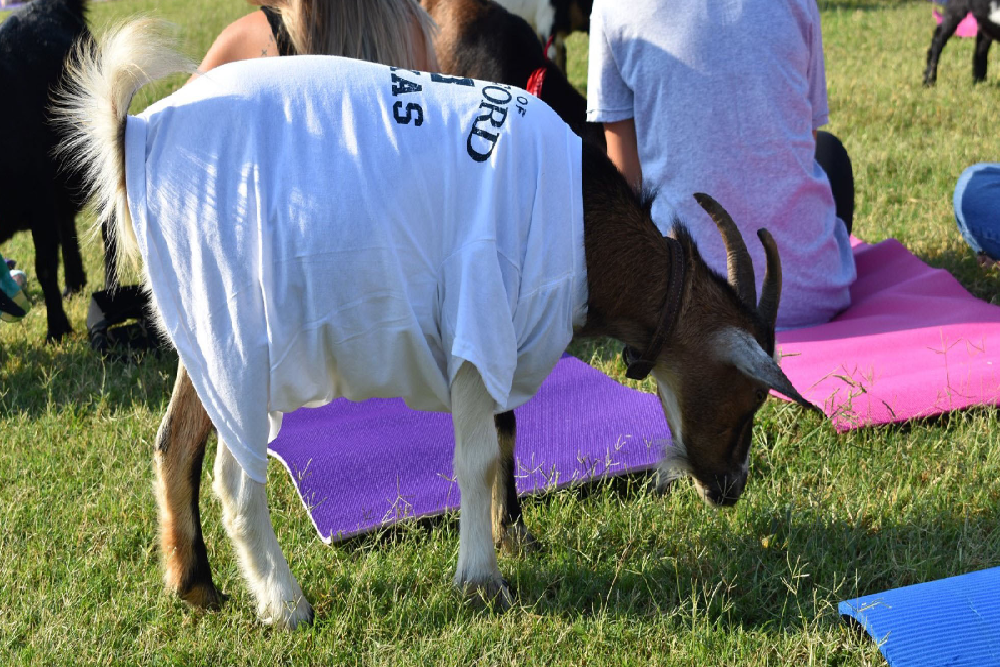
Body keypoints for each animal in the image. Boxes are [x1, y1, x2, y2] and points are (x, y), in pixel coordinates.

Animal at [58, 20, 816, 629]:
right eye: (751, 393)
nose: (730, 487)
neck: (580, 225)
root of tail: (133, 135)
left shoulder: (500, 328)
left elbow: (508, 434)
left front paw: (514, 540)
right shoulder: (479, 318)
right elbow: (475, 456)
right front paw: (482, 581)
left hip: (202, 324)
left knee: (174, 443)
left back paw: (196, 587)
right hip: (239, 332)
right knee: (235, 477)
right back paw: (286, 604)